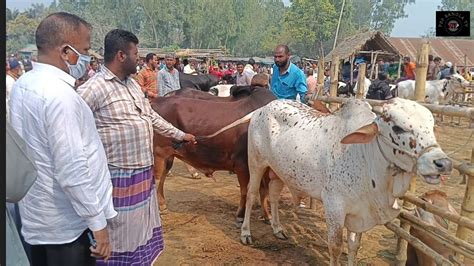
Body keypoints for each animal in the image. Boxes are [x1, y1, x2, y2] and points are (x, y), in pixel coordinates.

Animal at [152, 86, 276, 223]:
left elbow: (264, 190)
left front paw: (267, 216)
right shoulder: (242, 165)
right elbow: (245, 191)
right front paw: (240, 215)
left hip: (168, 156)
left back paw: (163, 205)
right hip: (159, 154)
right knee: (157, 179)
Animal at [241, 98, 452, 266]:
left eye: (431, 126)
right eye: (398, 128)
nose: (443, 163)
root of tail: (264, 107)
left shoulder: (360, 211)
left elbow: (353, 246)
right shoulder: (334, 206)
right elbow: (335, 247)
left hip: (280, 171)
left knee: (274, 194)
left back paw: (277, 228)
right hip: (256, 163)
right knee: (251, 194)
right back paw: (246, 233)